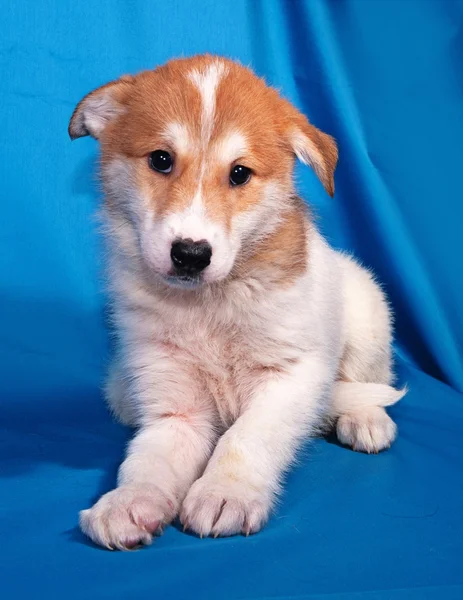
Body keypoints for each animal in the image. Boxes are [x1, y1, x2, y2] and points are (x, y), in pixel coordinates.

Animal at [69, 54, 406, 552]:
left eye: (240, 173)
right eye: (161, 160)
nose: (191, 253)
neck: (209, 303)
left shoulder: (289, 376)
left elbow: (246, 439)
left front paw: (225, 494)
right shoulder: (176, 406)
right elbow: (146, 461)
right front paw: (128, 503)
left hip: (368, 314)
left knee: (369, 379)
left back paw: (363, 418)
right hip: (120, 389)